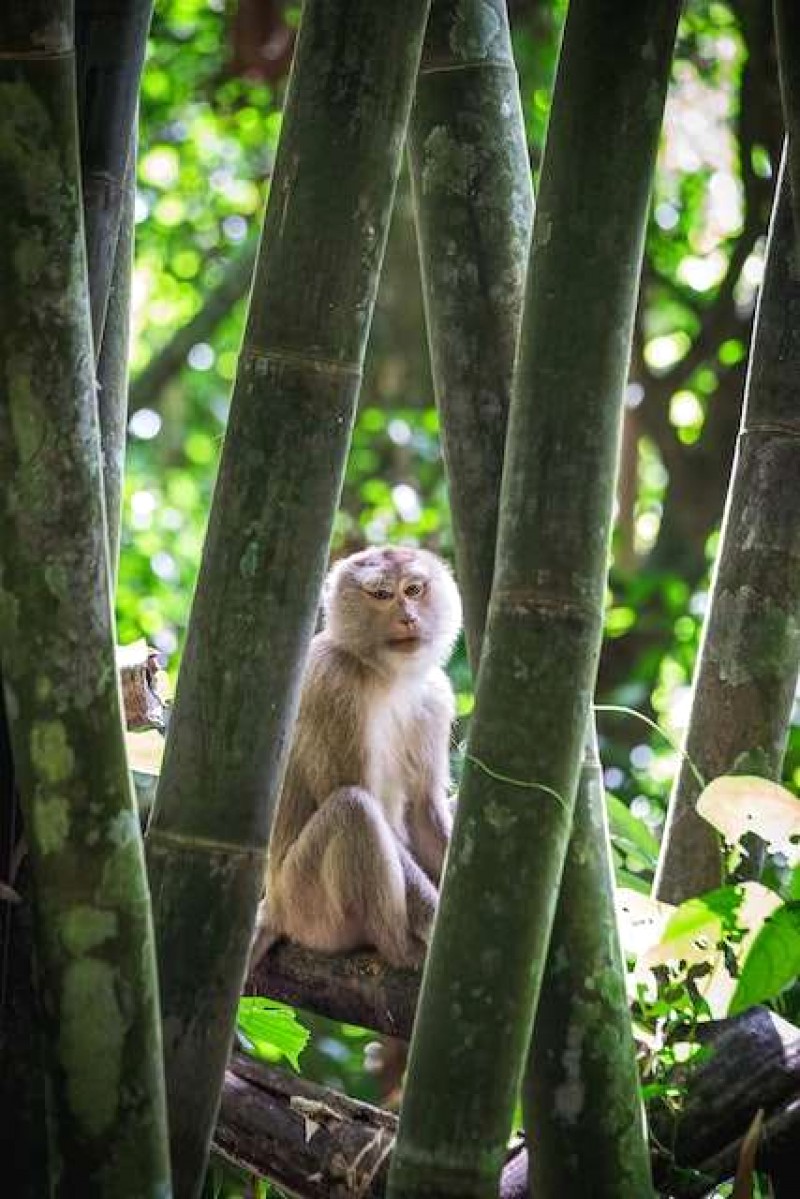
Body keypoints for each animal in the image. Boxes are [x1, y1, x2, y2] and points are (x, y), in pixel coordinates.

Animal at [250, 549, 462, 968]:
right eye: (381, 594)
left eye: (413, 589)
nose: (408, 617)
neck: (385, 674)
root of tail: (274, 905)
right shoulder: (334, 684)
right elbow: (358, 795)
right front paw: (438, 924)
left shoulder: (435, 695)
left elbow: (425, 810)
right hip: (307, 904)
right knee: (354, 809)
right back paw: (402, 950)